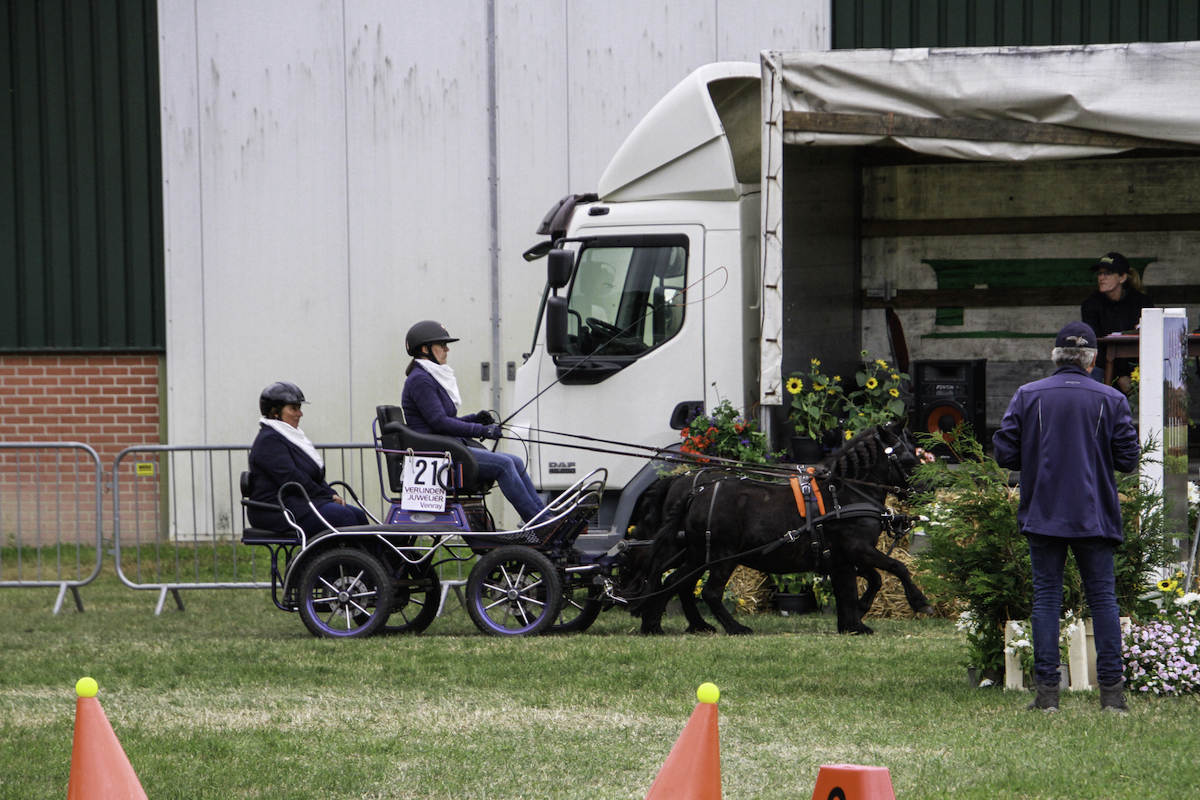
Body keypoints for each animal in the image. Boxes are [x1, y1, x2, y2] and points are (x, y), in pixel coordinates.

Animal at [633, 422, 931, 633]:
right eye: (909, 459)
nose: (928, 489)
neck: (845, 493)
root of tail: (696, 493)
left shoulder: (845, 556)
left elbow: (858, 585)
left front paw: (855, 623)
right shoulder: (859, 549)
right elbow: (896, 568)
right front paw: (919, 601)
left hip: (699, 555)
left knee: (674, 582)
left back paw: (658, 625)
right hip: (721, 556)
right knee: (709, 592)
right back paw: (735, 628)